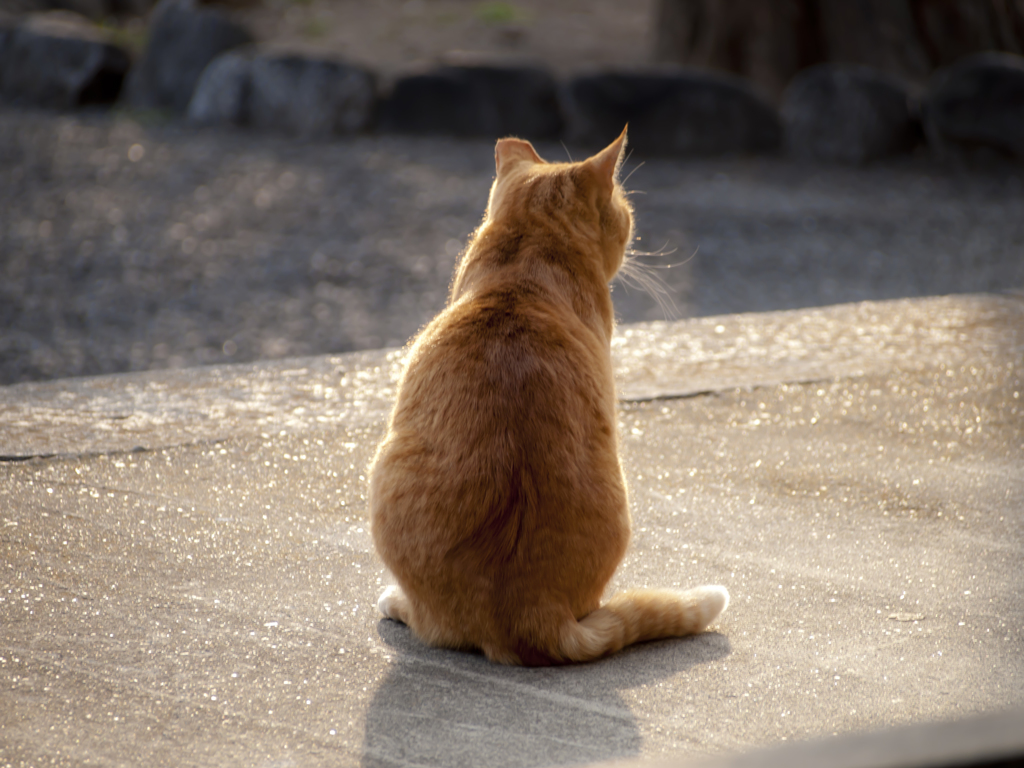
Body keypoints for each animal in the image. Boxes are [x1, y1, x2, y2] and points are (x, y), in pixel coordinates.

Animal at [368, 128, 729, 667]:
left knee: (430, 624)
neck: (525, 258)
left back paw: (395, 601)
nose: (631, 227)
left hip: (382, 468)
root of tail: (530, 614)